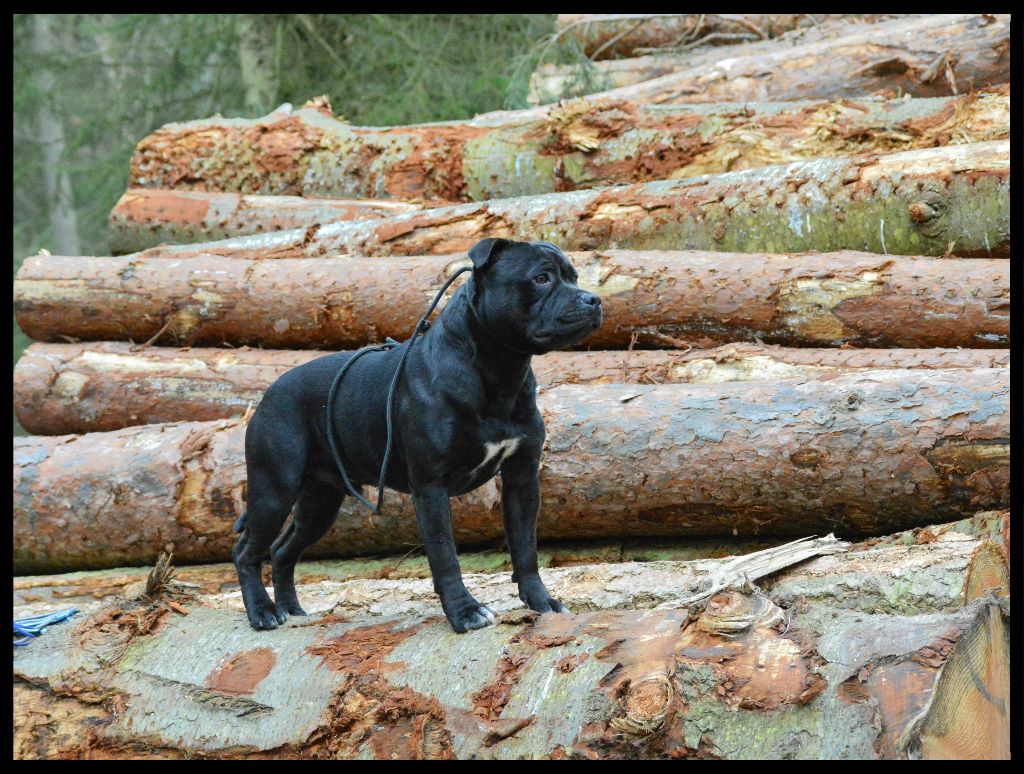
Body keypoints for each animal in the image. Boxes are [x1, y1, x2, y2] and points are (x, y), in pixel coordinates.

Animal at [234, 238, 598, 630]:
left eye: (574, 277)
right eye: (541, 278)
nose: (593, 299)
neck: (499, 371)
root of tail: (268, 393)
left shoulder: (522, 477)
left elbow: (525, 546)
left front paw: (541, 602)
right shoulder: (430, 485)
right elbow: (444, 554)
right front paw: (465, 612)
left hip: (320, 501)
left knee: (282, 550)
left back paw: (292, 609)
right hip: (275, 489)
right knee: (247, 552)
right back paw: (263, 612)